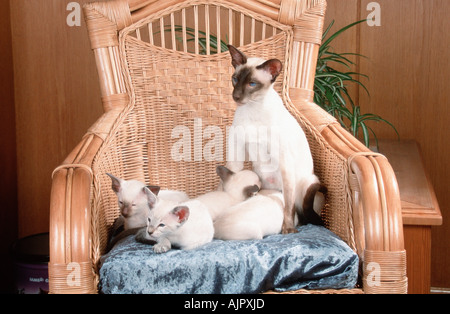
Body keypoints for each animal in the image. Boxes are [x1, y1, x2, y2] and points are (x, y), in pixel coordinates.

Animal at [227, 46, 326, 233]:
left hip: (308, 182)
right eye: (235, 79)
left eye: (252, 84)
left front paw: (288, 230)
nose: (235, 97)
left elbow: (288, 207)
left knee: (300, 212)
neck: (252, 109)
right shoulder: (237, 153)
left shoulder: (284, 161)